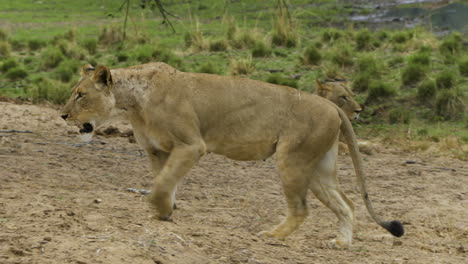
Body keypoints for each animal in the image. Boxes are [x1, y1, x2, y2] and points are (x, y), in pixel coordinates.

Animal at [59, 63, 402, 249]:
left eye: (80, 95)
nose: (63, 115)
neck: (133, 100)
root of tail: (331, 106)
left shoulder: (191, 145)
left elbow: (161, 185)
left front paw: (160, 210)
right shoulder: (157, 150)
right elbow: (164, 181)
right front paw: (165, 212)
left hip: (293, 159)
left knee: (302, 209)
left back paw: (272, 234)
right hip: (319, 167)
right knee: (348, 204)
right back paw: (342, 243)